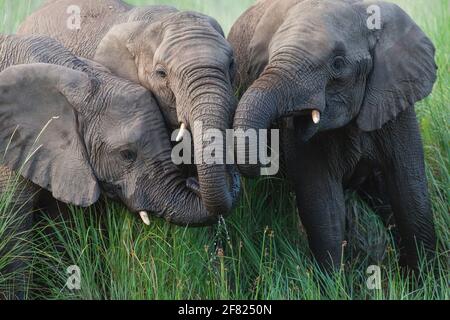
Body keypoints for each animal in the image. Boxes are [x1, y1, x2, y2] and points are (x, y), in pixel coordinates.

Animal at [229, 0, 436, 270]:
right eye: (268, 61)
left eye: (338, 64)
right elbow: (323, 201)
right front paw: (332, 280)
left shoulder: (394, 96)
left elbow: (409, 189)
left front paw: (425, 276)